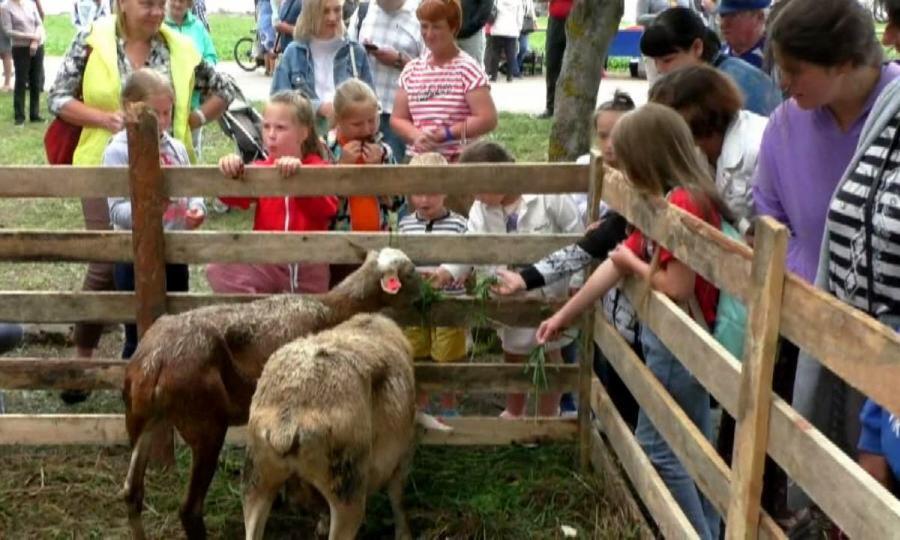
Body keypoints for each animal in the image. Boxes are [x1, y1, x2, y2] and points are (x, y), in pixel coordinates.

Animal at [118, 249, 422, 540]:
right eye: (410, 273)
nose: (424, 298)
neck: (331, 307)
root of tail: (153, 363)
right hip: (205, 426)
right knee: (189, 509)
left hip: (141, 419)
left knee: (132, 493)